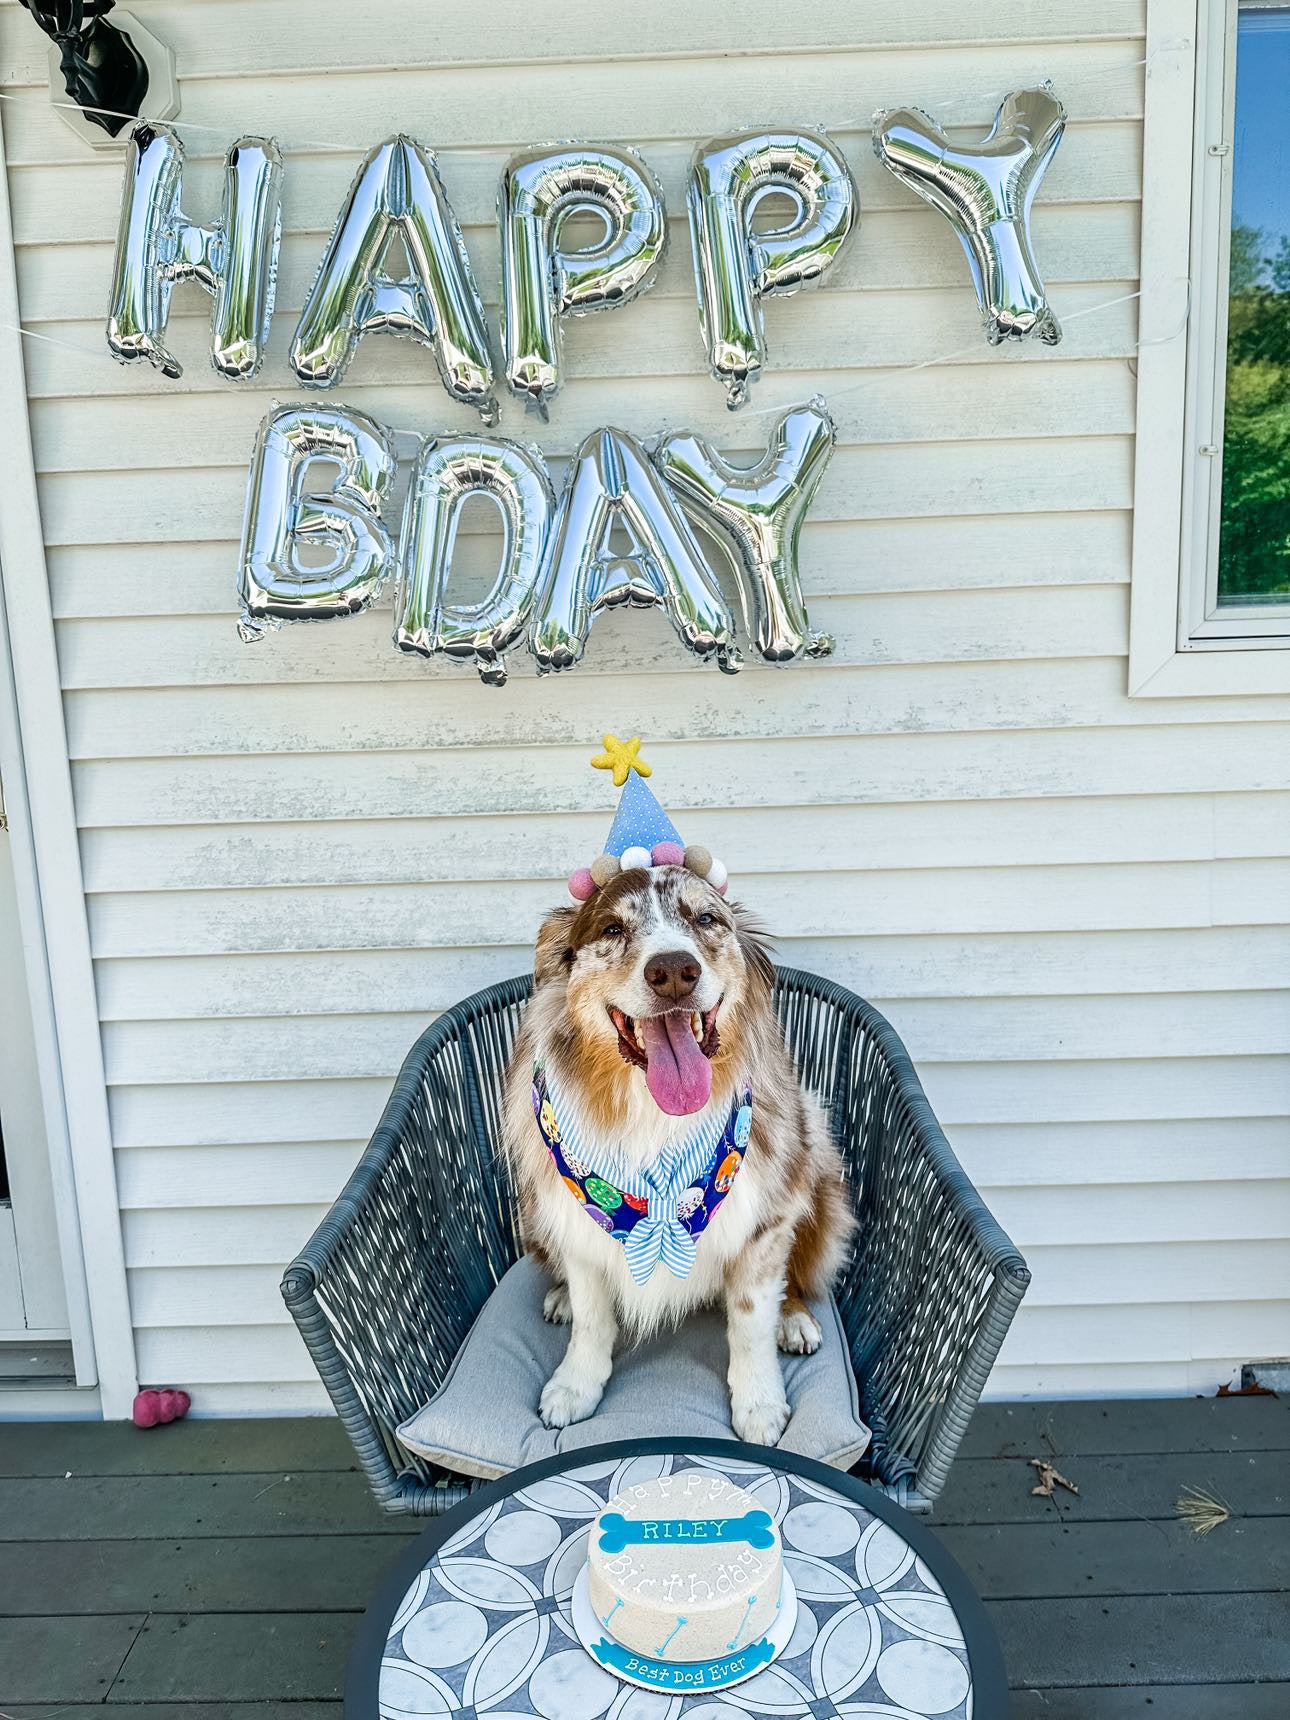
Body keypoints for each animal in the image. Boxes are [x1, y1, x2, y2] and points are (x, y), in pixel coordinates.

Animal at [505, 866, 860, 1444]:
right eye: (611, 928)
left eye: (707, 919)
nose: (674, 971)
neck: (655, 1119)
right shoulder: (580, 1225)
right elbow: (593, 1317)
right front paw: (576, 1385)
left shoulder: (763, 1225)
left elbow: (750, 1319)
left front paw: (759, 1402)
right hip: (537, 1215)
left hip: (818, 1163)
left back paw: (794, 1317)